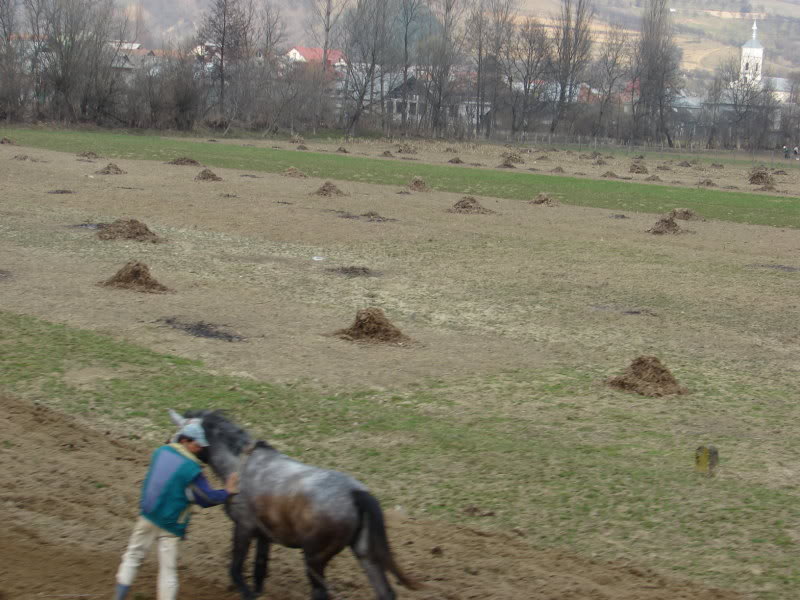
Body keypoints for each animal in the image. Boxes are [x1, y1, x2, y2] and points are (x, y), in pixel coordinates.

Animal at [170, 408, 424, 600]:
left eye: (179, 435)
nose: (169, 446)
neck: (240, 465)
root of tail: (355, 492)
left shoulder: (243, 527)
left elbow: (236, 569)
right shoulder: (263, 536)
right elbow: (260, 569)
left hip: (315, 558)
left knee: (321, 593)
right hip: (365, 555)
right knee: (384, 592)